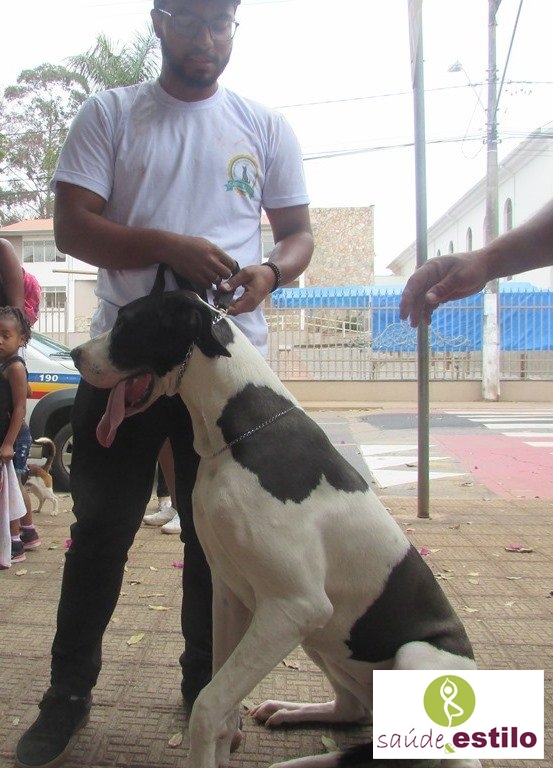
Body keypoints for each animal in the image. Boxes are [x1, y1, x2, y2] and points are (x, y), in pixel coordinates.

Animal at [71, 290, 481, 768]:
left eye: (127, 323)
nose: (75, 354)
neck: (237, 432)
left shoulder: (293, 607)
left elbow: (208, 705)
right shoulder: (231, 593)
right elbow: (222, 701)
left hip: (410, 655)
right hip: (322, 642)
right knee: (356, 712)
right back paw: (294, 716)